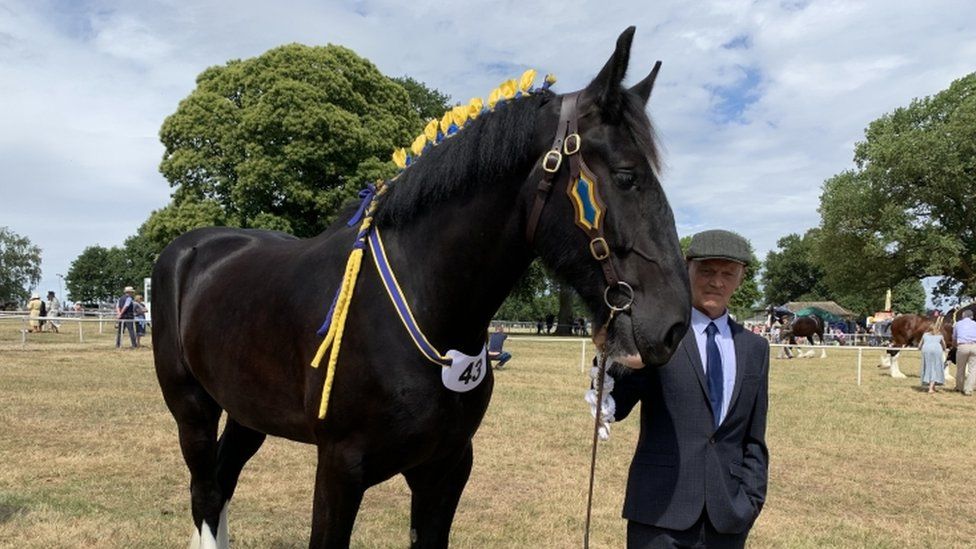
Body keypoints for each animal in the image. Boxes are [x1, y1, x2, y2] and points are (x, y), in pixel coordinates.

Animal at [152, 28, 692, 548]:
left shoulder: (445, 469)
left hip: (248, 413)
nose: (673, 325)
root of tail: (189, 248)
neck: (423, 305)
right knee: (206, 493)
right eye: (626, 175)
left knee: (223, 483)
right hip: (192, 410)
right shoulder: (339, 469)